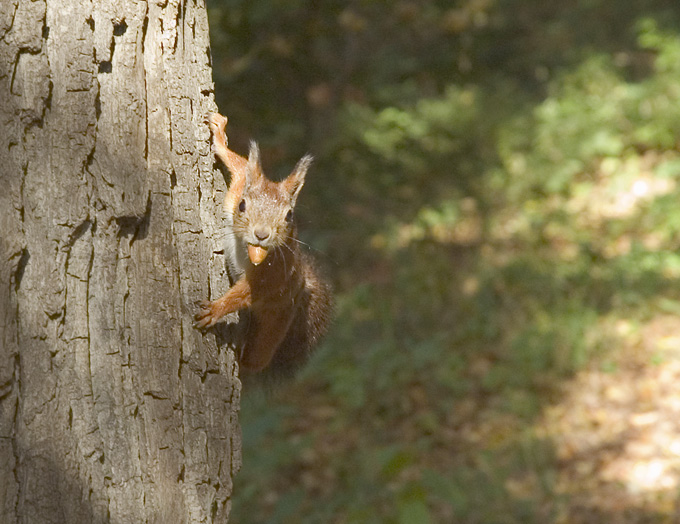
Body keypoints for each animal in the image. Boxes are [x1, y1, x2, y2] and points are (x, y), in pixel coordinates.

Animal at [195, 112, 334, 374]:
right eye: (242, 205)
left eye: (289, 215)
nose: (261, 235)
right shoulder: (237, 189)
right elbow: (239, 166)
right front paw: (219, 135)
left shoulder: (274, 272)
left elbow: (249, 292)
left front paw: (216, 309)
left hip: (276, 320)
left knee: (258, 356)